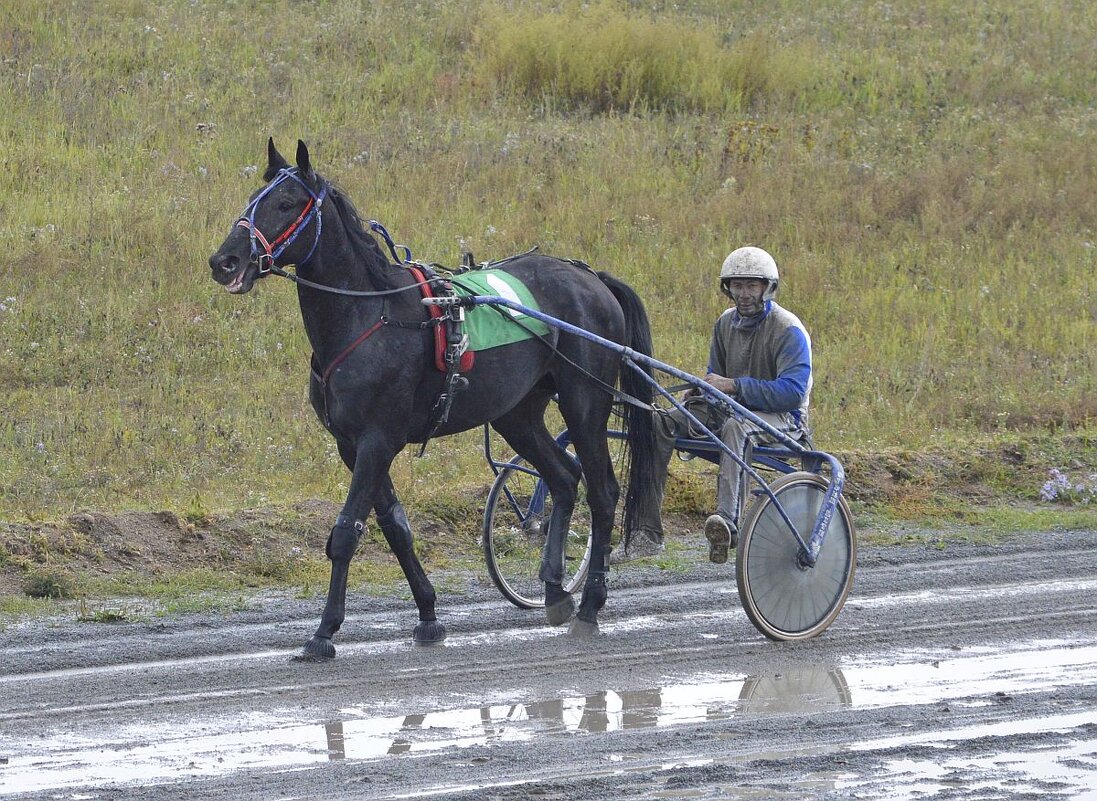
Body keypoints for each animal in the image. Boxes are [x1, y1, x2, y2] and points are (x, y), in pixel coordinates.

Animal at [209, 140, 653, 658]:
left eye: (285, 203)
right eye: (253, 198)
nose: (225, 261)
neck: (369, 316)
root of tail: (591, 279)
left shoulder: (379, 439)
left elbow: (345, 532)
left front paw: (323, 632)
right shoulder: (351, 445)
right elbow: (396, 530)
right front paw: (427, 616)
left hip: (585, 401)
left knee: (602, 492)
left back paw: (589, 607)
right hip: (515, 413)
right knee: (564, 478)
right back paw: (555, 591)